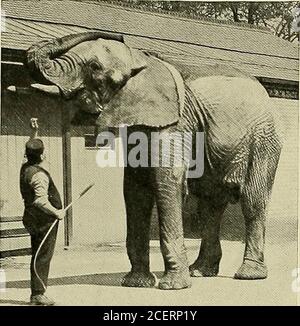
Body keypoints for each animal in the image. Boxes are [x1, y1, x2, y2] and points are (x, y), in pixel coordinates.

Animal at [21, 31, 284, 290]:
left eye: (94, 67)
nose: (119, 35)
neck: (141, 62)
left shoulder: (175, 122)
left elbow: (165, 181)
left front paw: (173, 286)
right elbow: (134, 188)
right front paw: (136, 283)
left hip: (263, 140)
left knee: (252, 200)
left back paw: (248, 274)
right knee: (210, 205)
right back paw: (200, 271)